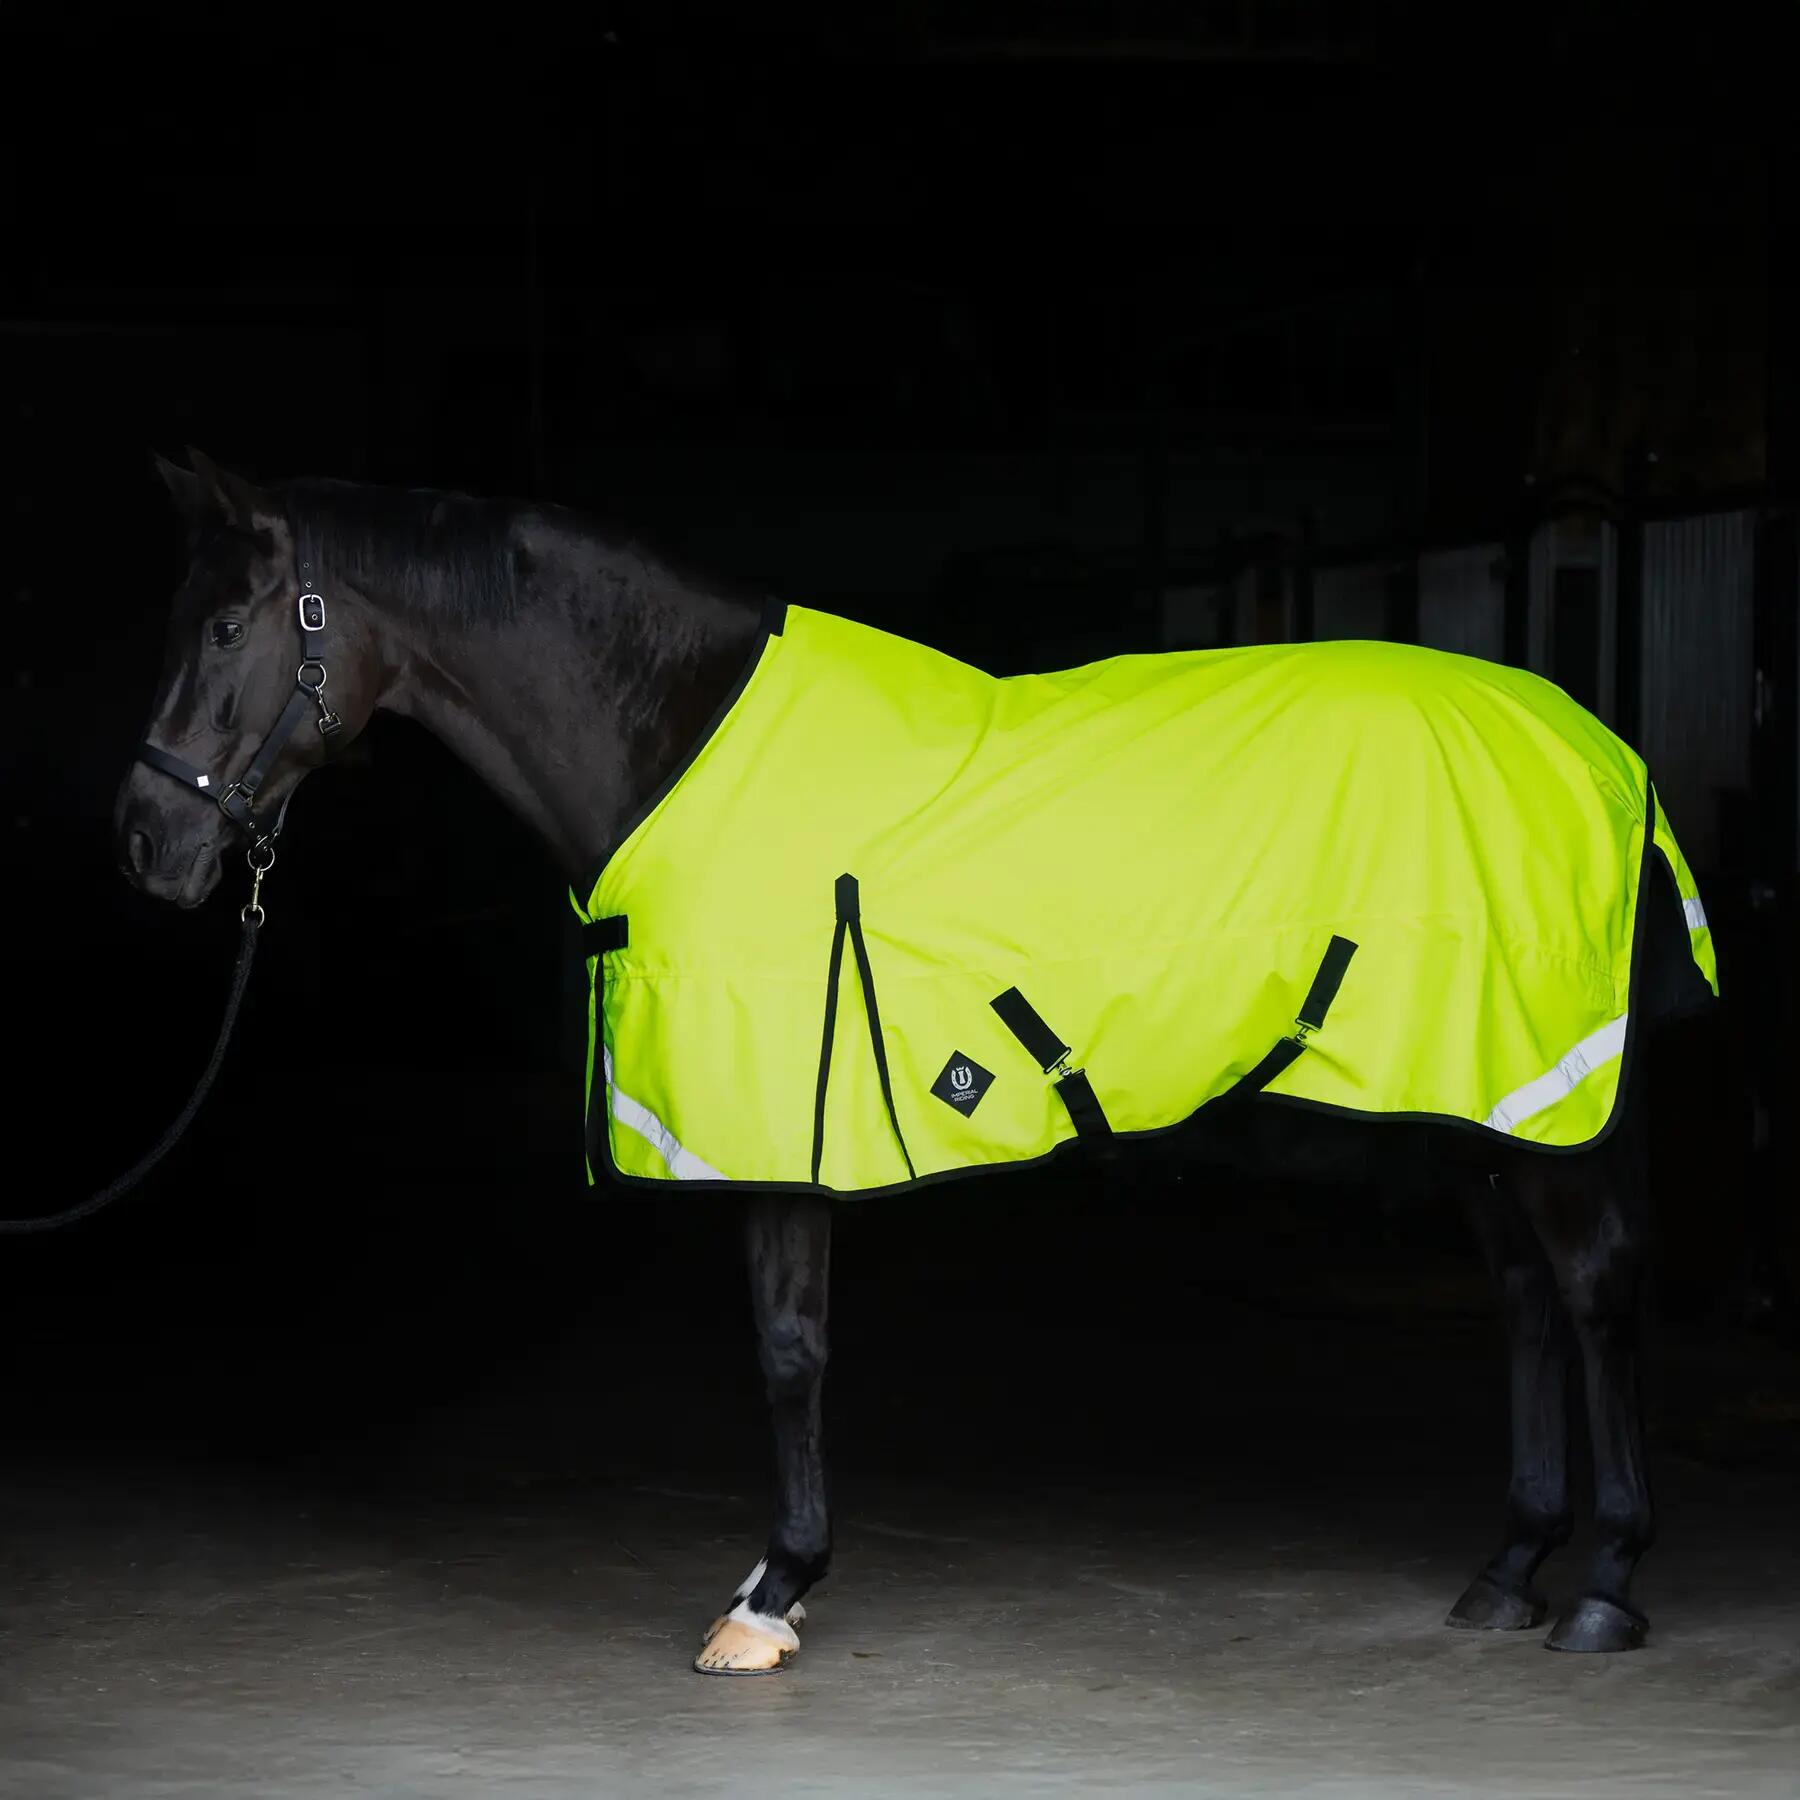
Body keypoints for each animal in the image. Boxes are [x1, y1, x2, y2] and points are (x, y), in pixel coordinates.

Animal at [115, 451, 1714, 1674]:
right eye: (184, 612)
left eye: (233, 623)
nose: (147, 840)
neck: (676, 736)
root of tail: (1603, 746)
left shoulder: (782, 1121)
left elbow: (787, 1350)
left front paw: (772, 1595)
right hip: (1472, 1088)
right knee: (1521, 1294)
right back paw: (1507, 1568)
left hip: (1541, 1091)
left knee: (1589, 1285)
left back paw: (1603, 1587)